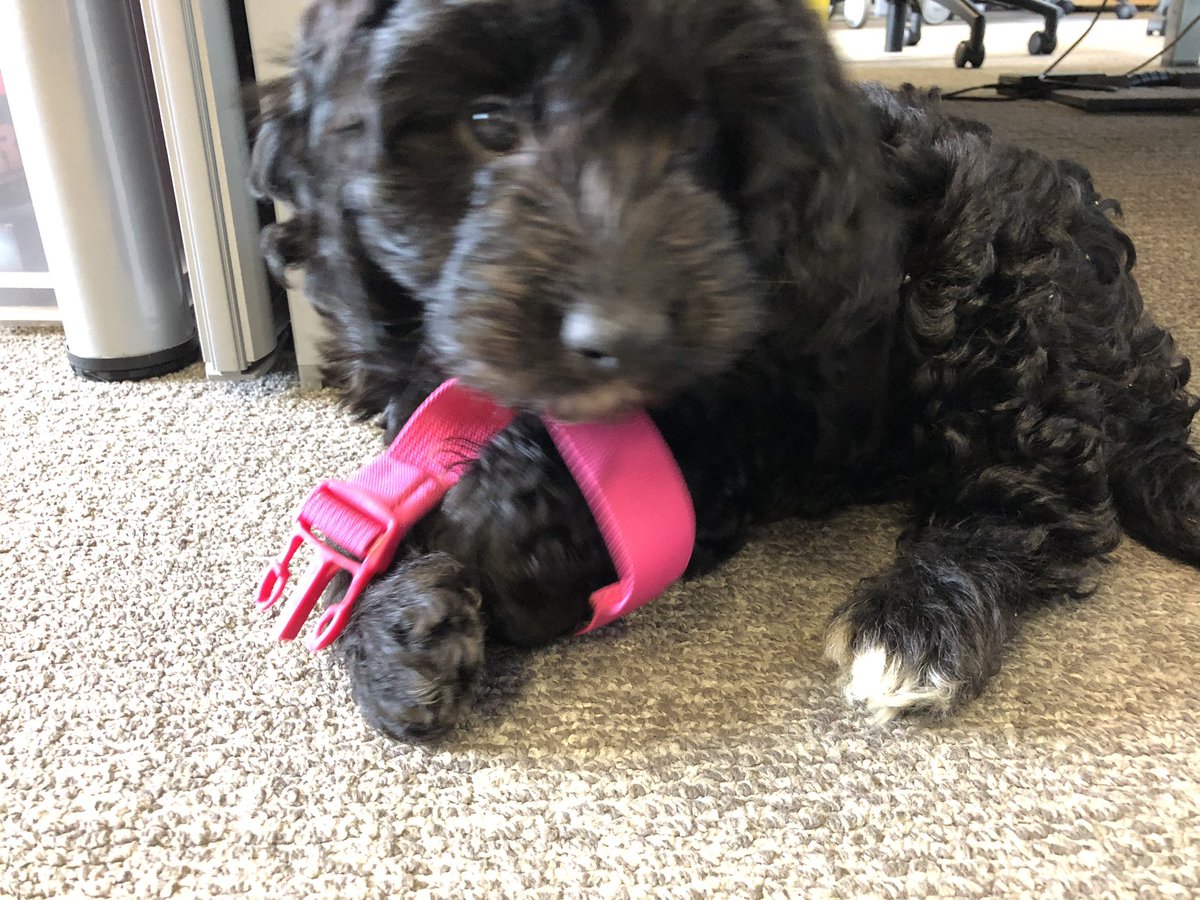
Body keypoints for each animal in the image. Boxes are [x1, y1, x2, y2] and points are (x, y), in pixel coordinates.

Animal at [248, 0, 1195, 739]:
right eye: (486, 124)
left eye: (698, 134)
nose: (620, 334)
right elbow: (384, 504)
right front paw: (395, 632)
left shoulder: (724, 428)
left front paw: (478, 560)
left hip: (990, 309)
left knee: (1037, 505)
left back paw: (919, 622)